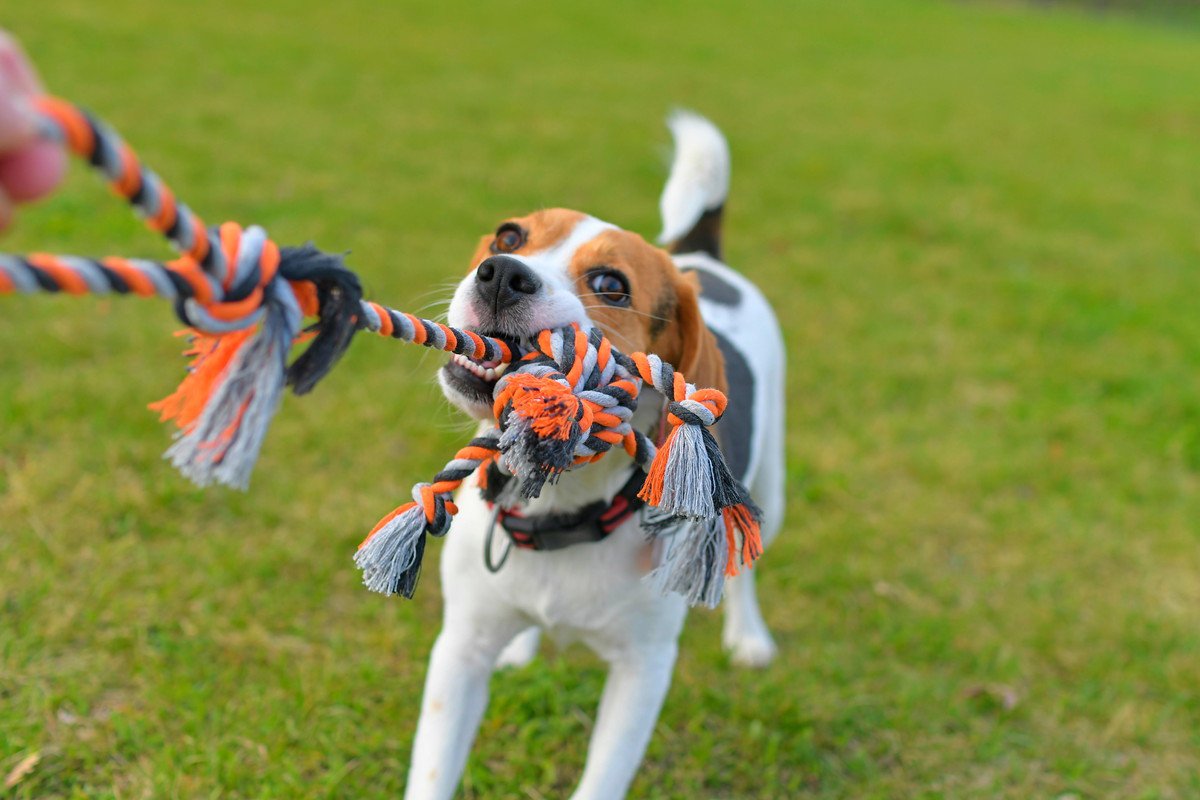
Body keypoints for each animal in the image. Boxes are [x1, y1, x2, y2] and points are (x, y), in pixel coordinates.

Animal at [408, 110, 787, 800]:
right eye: (509, 234)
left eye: (611, 285)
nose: (501, 272)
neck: (559, 510)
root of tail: (700, 257)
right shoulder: (459, 650)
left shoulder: (643, 672)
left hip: (771, 483)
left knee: (745, 559)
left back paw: (749, 636)